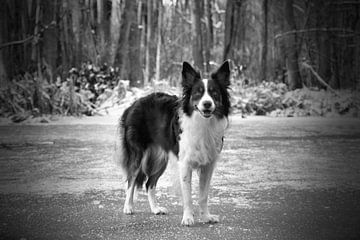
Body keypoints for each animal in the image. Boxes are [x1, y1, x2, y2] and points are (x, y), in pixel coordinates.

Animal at [115, 61, 231, 226]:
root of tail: (133, 105)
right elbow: (187, 196)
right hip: (138, 155)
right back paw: (128, 207)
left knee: (149, 184)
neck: (202, 122)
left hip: (161, 158)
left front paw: (206, 217)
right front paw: (188, 218)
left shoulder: (208, 165)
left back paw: (155, 209)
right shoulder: (185, 163)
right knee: (131, 180)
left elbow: (203, 195)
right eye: (198, 93)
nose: (207, 104)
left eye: (214, 93)